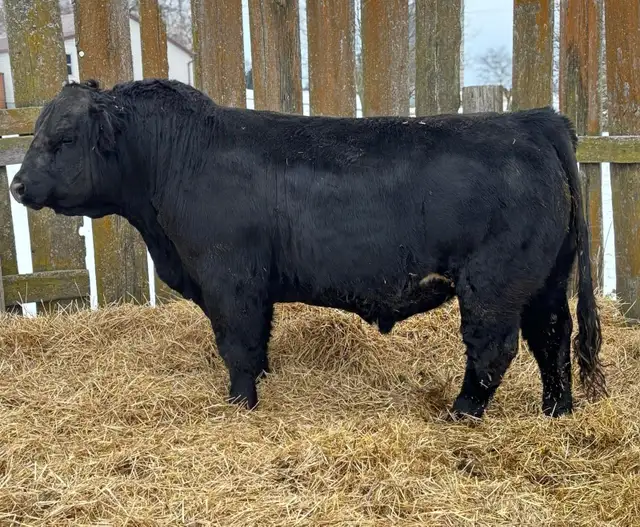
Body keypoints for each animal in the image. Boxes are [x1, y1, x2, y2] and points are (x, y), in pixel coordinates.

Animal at [9, 78, 606, 419]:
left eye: (62, 137)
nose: (16, 185)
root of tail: (533, 119)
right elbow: (257, 342)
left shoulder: (230, 279)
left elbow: (238, 344)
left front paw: (241, 406)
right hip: (545, 279)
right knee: (553, 338)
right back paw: (557, 412)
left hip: (493, 284)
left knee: (495, 349)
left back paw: (461, 413)